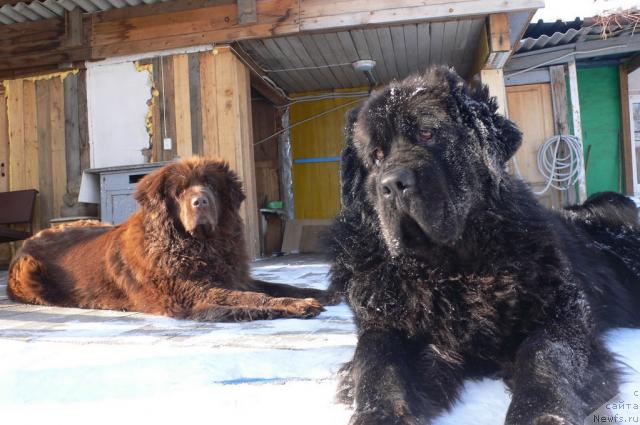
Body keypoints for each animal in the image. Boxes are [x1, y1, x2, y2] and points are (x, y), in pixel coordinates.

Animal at [7, 157, 332, 320]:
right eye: (180, 191)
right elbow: (250, 297)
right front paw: (296, 305)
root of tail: (27, 242)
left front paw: (323, 292)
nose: (200, 201)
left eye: (211, 185)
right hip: (30, 272)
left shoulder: (234, 275)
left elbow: (276, 285)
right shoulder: (190, 291)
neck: (201, 245)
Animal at [328, 66, 640, 424]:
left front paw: (540, 414)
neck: (450, 268)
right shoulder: (384, 318)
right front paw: (379, 413)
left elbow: (544, 356)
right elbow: (377, 359)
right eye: (376, 156)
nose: (392, 184)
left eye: (427, 134)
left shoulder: (563, 313)